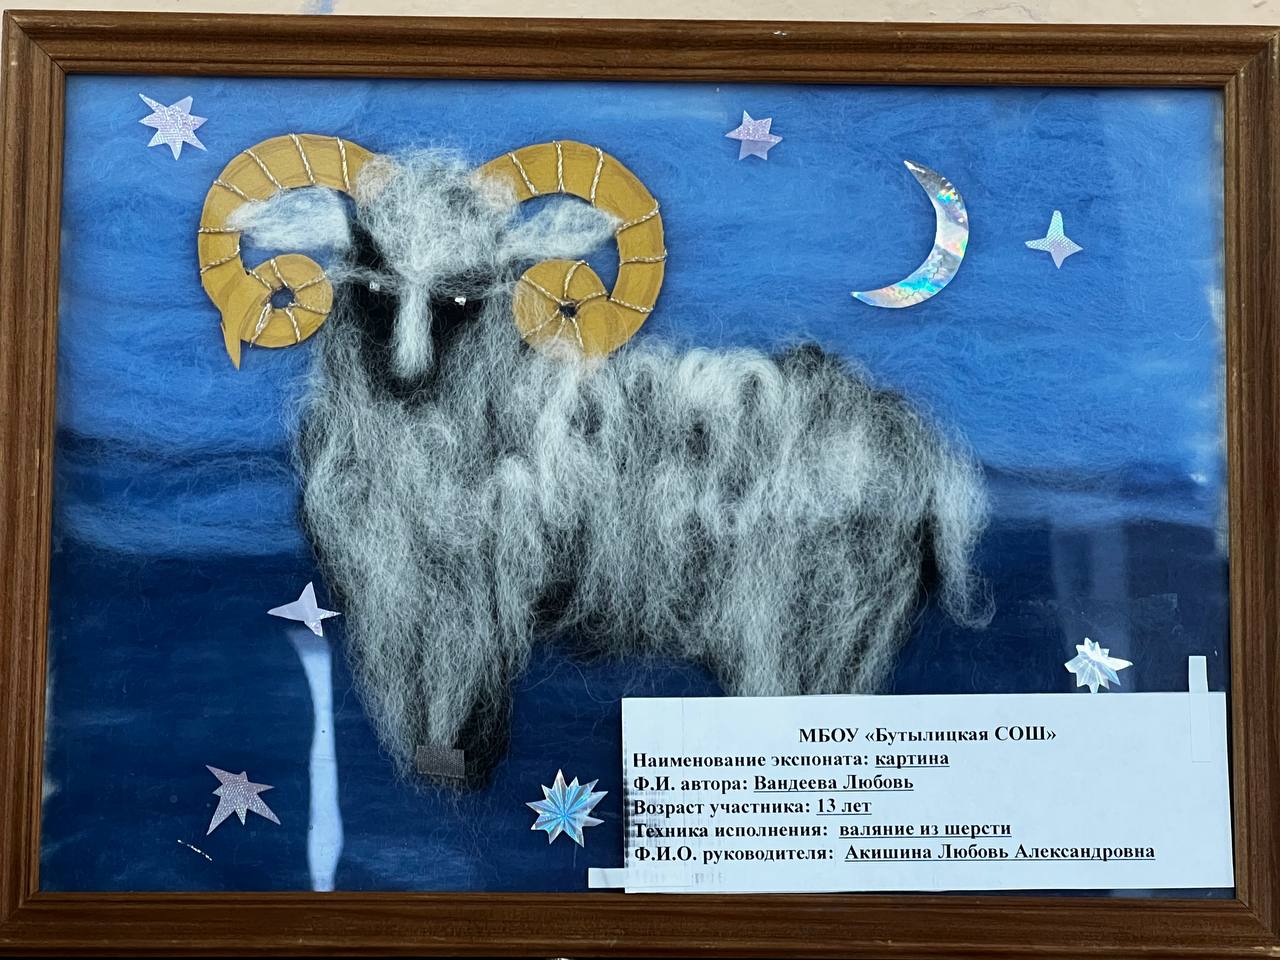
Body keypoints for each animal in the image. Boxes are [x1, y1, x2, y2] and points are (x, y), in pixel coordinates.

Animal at [230, 146, 992, 785]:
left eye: (464, 296)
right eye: (371, 286)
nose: (406, 378)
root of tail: (913, 441)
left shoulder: (468, 591)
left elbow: (456, 687)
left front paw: (454, 763)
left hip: (820, 610)